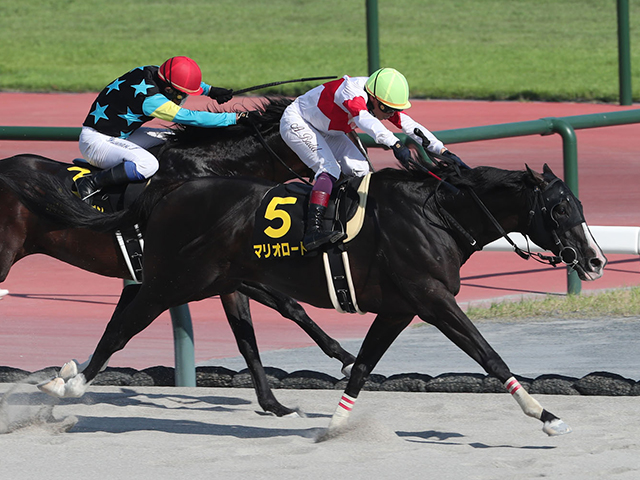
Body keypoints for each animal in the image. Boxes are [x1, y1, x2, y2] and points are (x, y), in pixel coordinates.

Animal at [0, 97, 356, 416]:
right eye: (332, 141)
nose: (350, 184)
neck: (214, 171)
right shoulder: (194, 272)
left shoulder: (227, 277)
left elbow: (262, 329)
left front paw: (281, 400)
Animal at [24, 155, 607, 436]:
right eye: (559, 208)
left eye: (581, 203)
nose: (596, 260)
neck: (438, 215)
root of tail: (168, 190)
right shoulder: (432, 298)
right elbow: (487, 355)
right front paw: (546, 416)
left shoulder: (400, 307)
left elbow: (364, 364)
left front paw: (336, 424)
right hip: (176, 280)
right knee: (120, 329)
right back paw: (65, 386)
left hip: (212, 281)